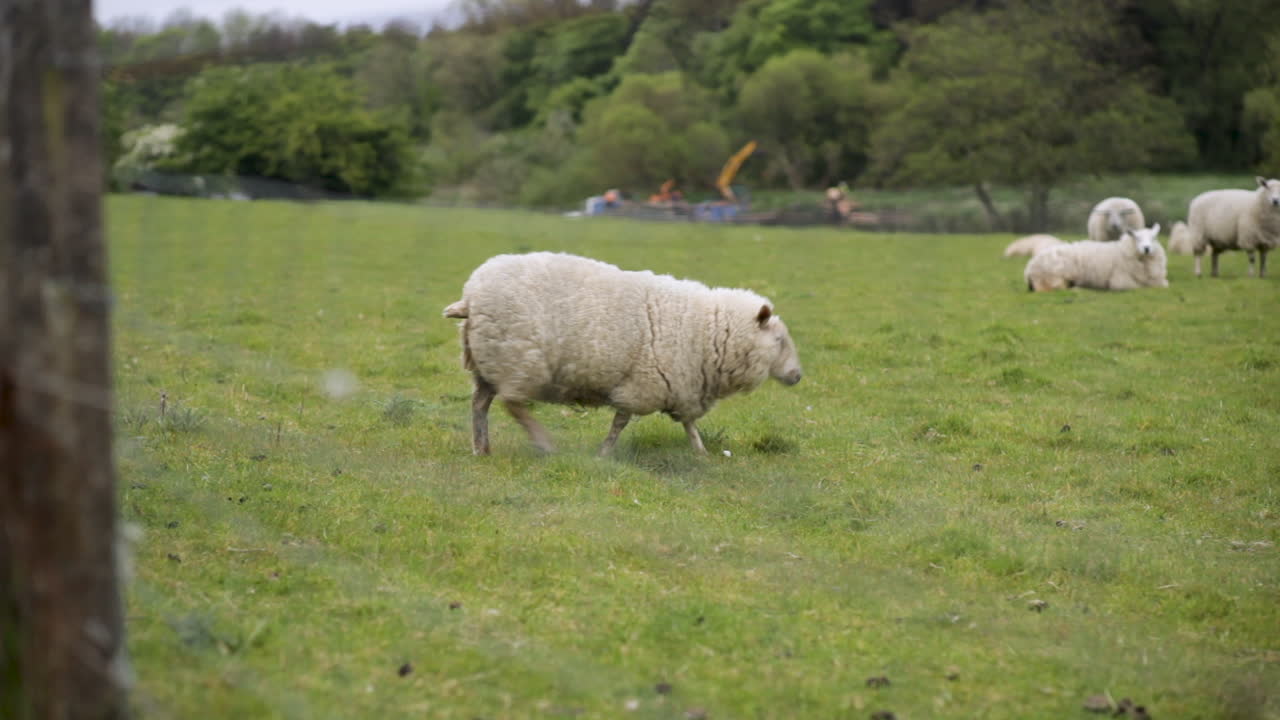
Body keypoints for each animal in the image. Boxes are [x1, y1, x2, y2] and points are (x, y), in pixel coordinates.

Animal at [443, 252, 803, 456]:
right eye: (779, 340)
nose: (797, 375)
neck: (708, 329)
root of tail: (471, 296)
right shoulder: (644, 384)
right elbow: (621, 422)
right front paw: (604, 453)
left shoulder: (681, 387)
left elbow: (688, 425)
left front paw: (701, 453)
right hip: (518, 360)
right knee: (513, 404)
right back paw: (542, 443)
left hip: (490, 361)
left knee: (480, 404)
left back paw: (481, 448)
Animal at [1024, 224, 1168, 292]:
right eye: (1137, 238)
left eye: (1154, 238)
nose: (1147, 248)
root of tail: (1029, 269)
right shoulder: (1120, 281)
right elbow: (1137, 287)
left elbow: (1163, 285)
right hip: (1053, 278)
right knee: (1052, 290)